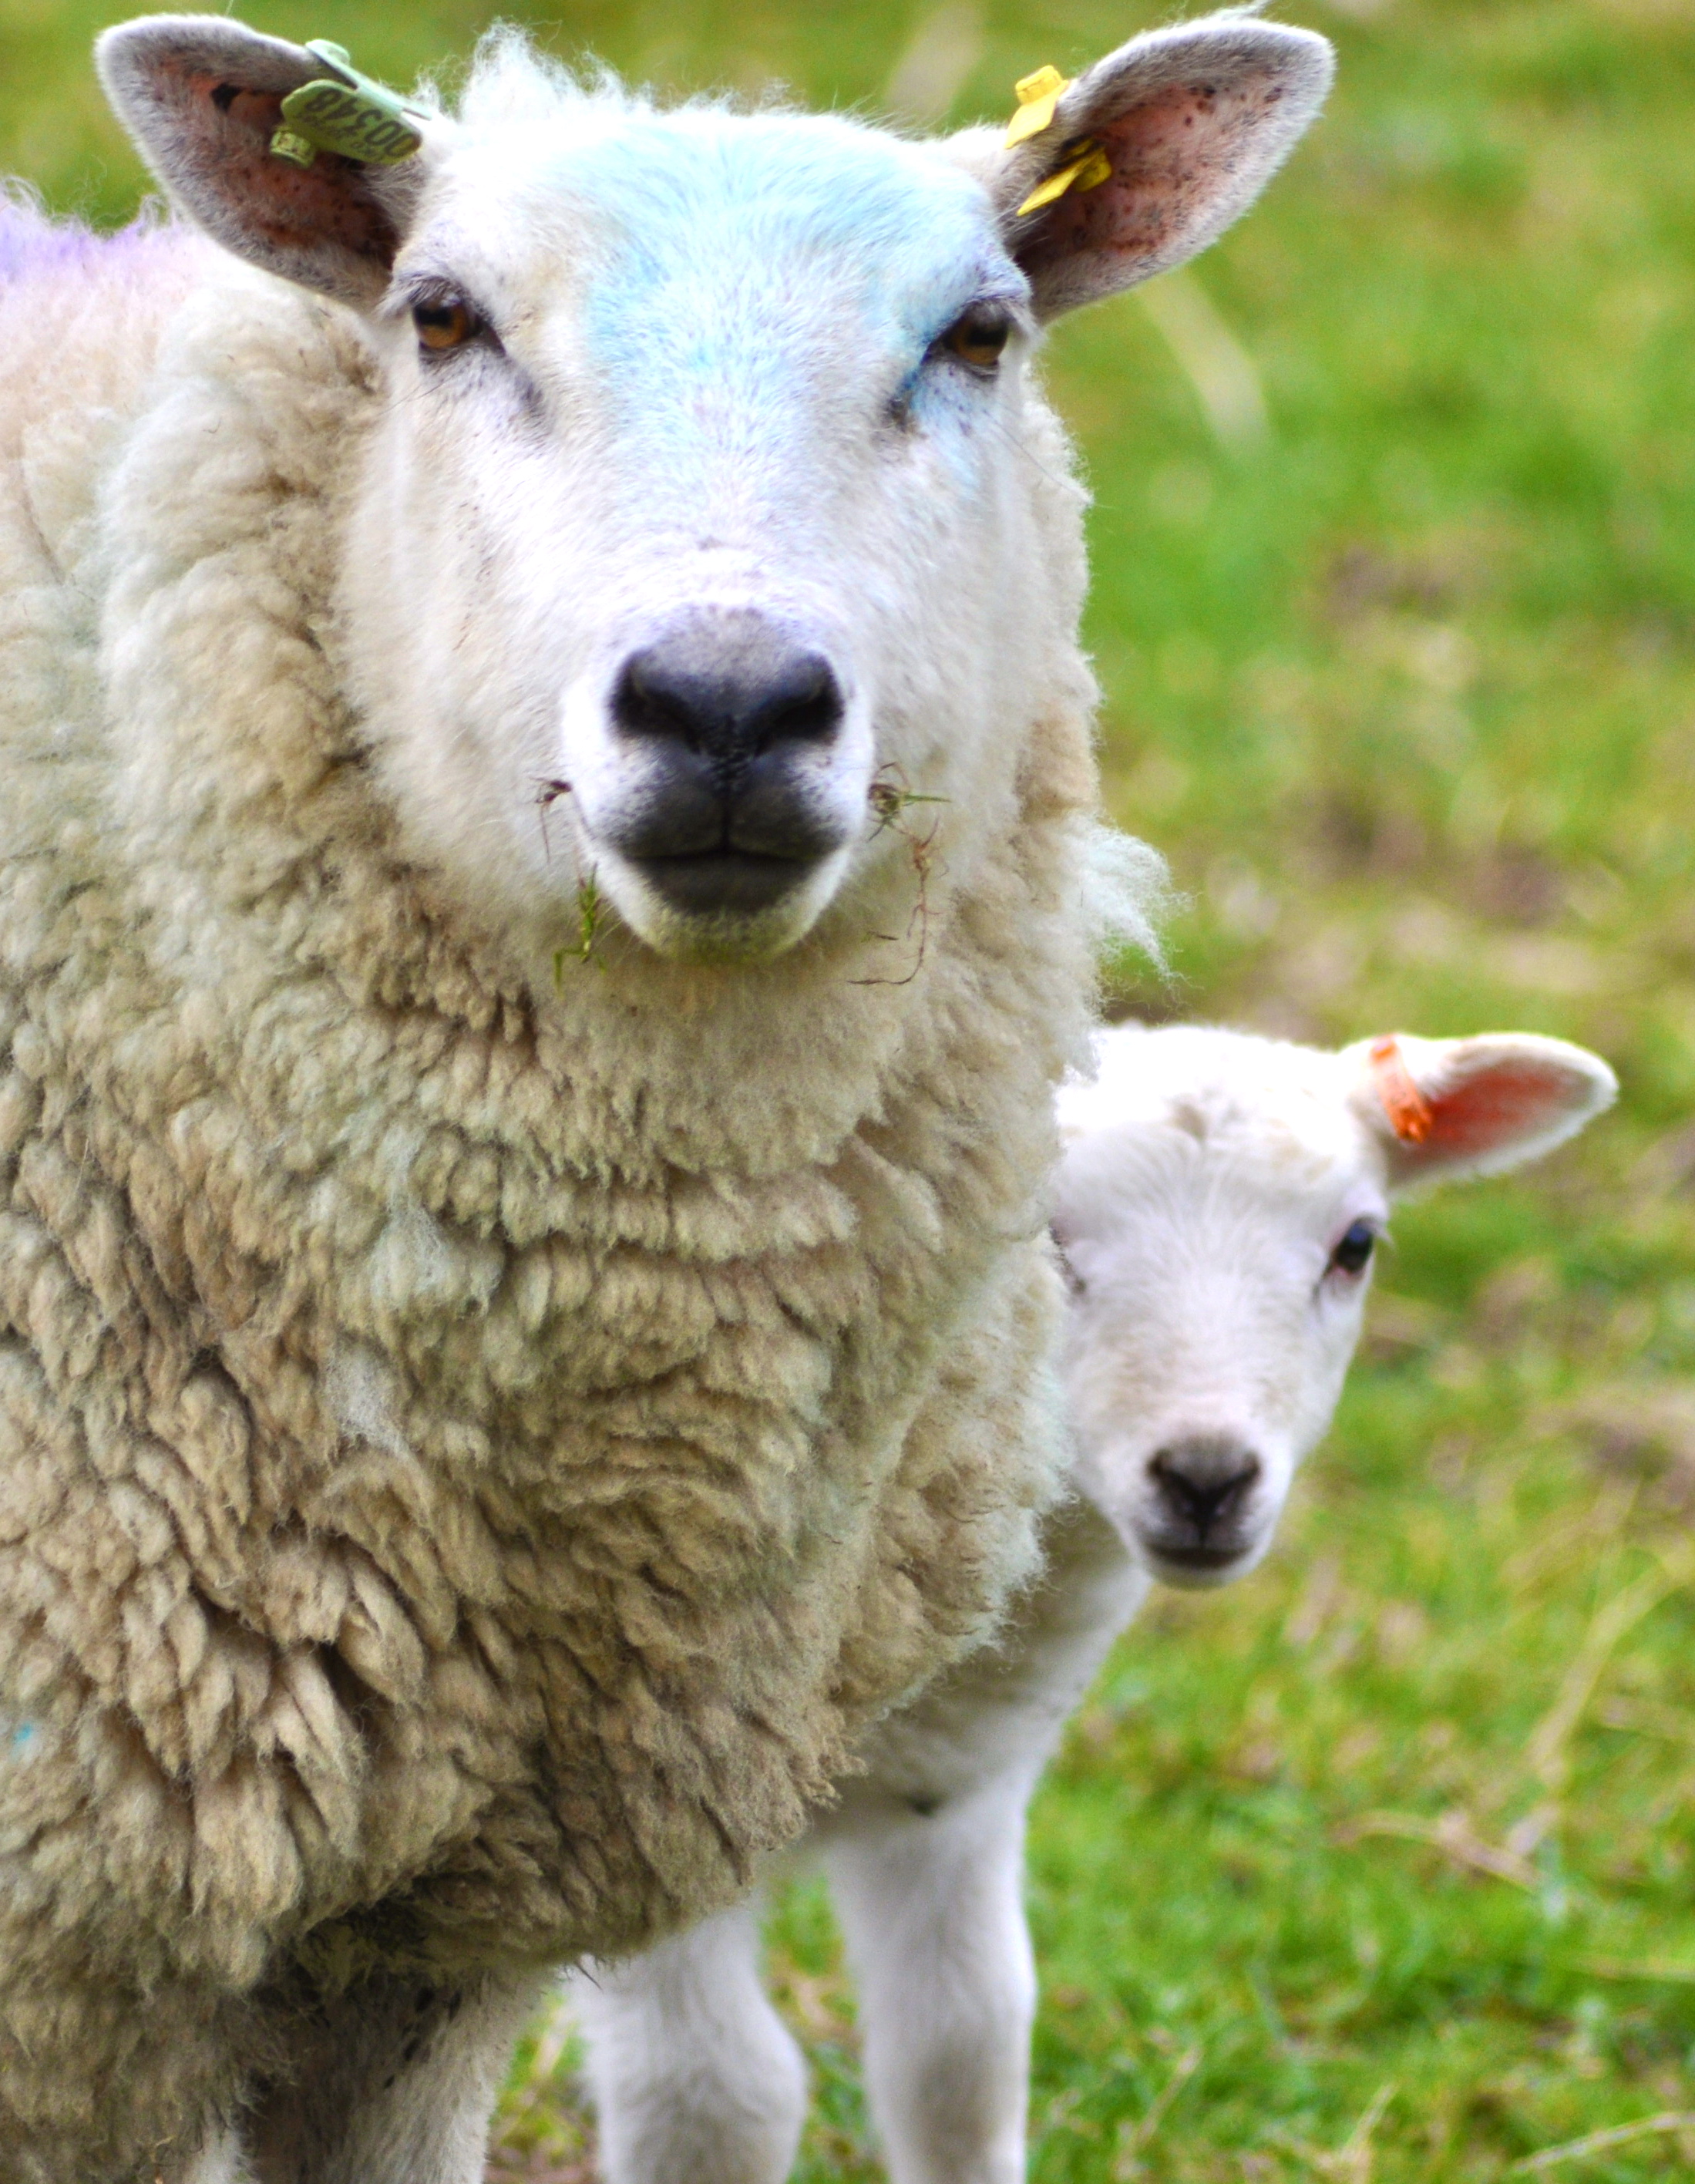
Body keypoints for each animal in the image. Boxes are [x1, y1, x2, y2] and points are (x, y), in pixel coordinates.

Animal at [574, 1020, 1617, 2184]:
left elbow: (960, 2050)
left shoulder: (952, 1789)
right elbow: (710, 2095)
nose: (1206, 1478)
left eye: (1354, 1245)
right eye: (1035, 1226)